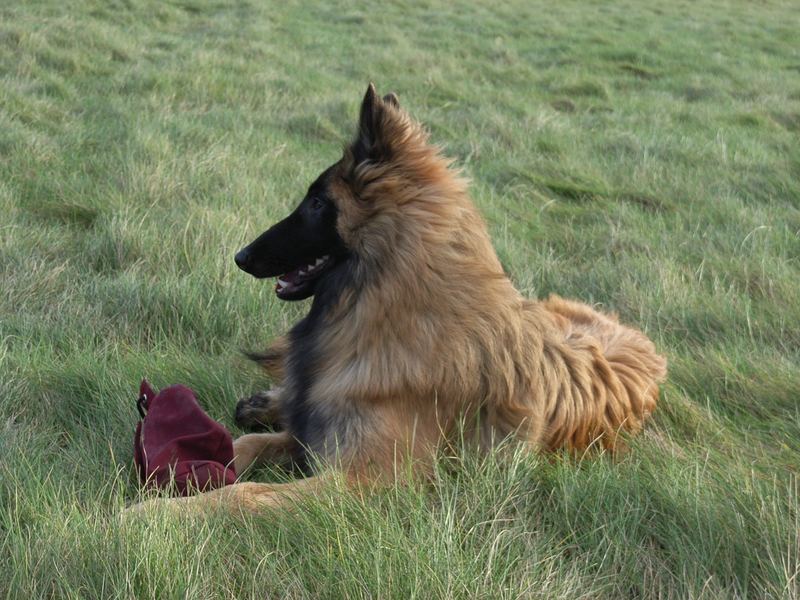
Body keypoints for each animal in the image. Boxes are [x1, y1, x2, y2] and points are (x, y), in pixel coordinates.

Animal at [134, 84, 664, 512]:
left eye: (317, 202)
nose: (241, 256)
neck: (385, 309)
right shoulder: (316, 437)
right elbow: (245, 444)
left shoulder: (360, 478)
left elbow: (245, 494)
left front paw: (149, 517)